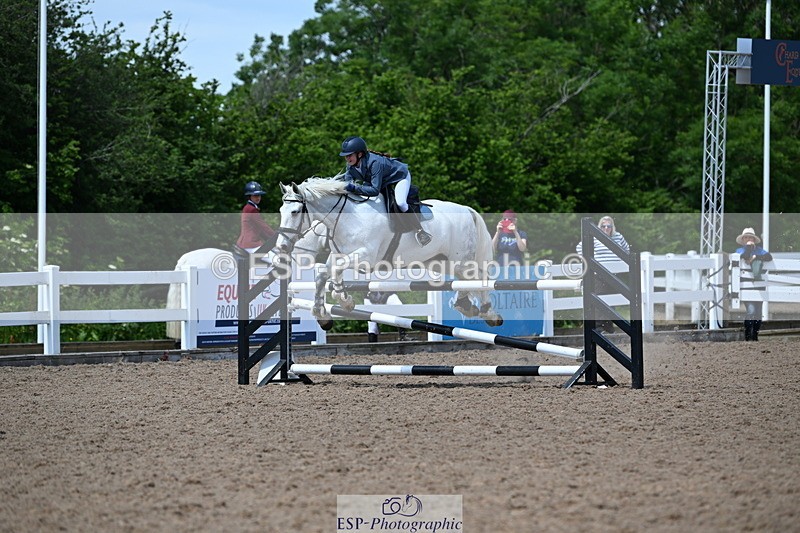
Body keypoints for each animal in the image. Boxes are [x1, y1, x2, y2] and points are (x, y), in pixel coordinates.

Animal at [274, 177, 503, 329]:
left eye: (295, 212)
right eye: (280, 211)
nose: (282, 248)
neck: (346, 218)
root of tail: (468, 210)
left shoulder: (366, 257)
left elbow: (336, 271)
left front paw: (344, 299)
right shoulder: (340, 255)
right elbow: (323, 274)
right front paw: (322, 314)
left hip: (460, 260)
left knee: (477, 278)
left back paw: (486, 312)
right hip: (441, 262)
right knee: (467, 280)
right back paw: (470, 308)